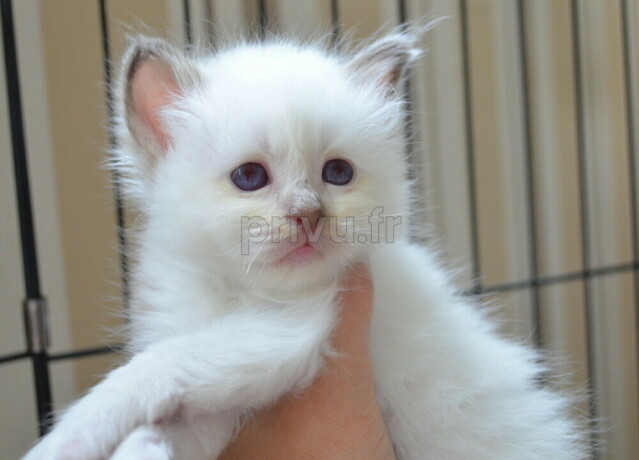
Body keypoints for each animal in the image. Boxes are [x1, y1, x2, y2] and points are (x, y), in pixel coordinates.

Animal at [25, 25, 588, 460]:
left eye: (337, 173)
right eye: (250, 177)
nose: (310, 215)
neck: (231, 290)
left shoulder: (290, 329)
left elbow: (152, 370)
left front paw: (63, 442)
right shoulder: (227, 403)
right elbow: (175, 421)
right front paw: (139, 446)